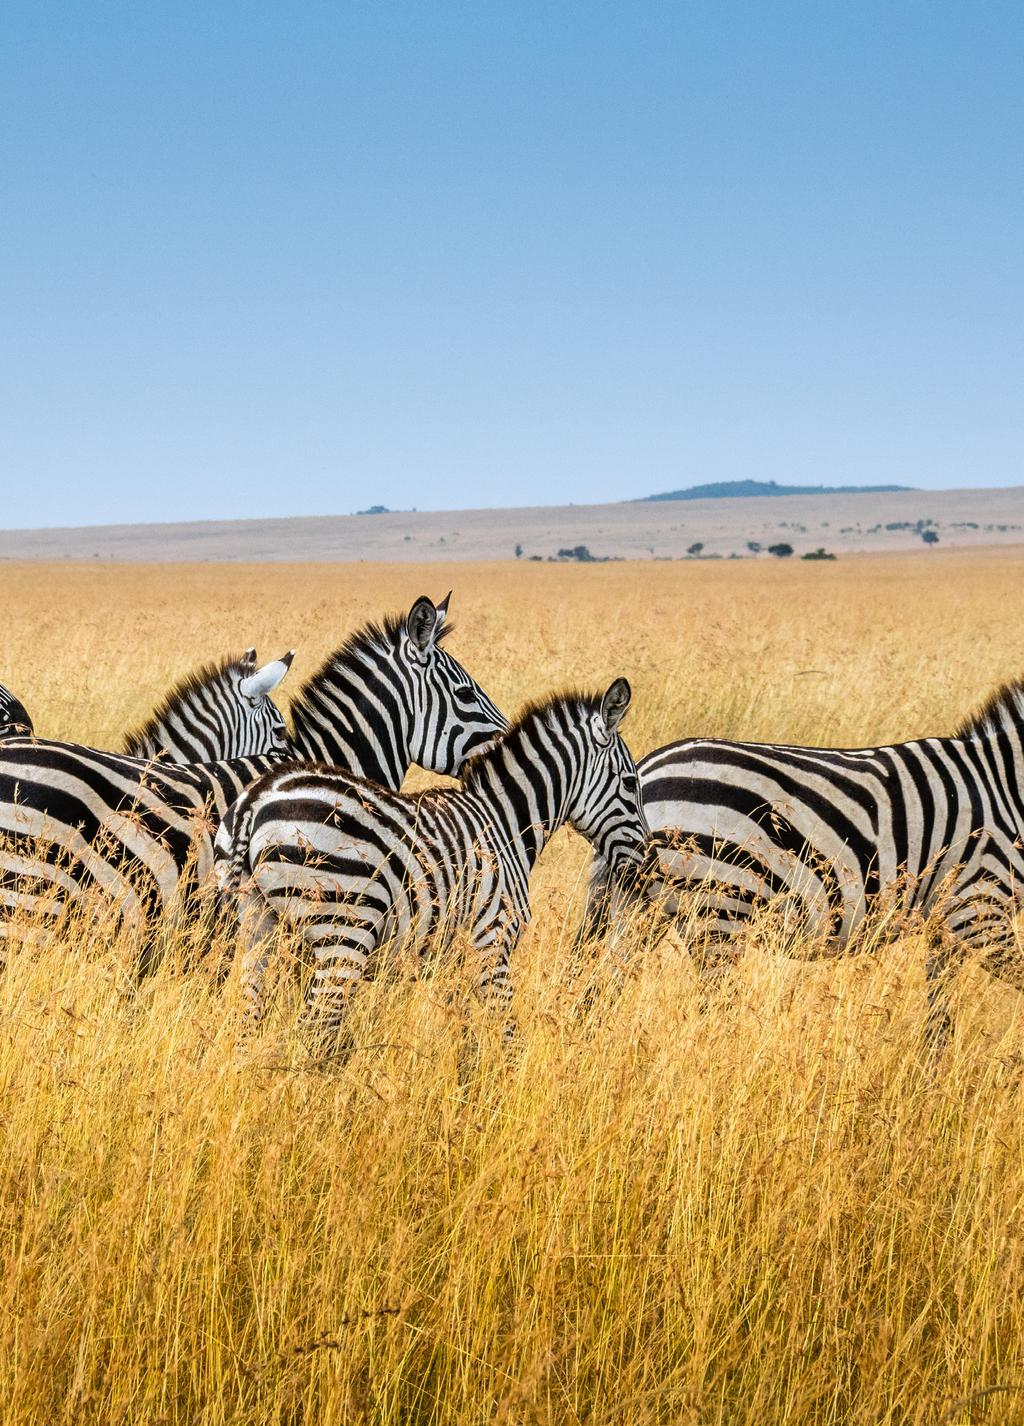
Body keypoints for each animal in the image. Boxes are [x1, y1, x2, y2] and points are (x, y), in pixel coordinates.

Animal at [215, 673, 650, 1043]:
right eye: (631, 782)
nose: (646, 863)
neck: (505, 821)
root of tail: (257, 800)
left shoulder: (456, 959)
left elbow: (467, 1037)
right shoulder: (492, 942)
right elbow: (506, 1034)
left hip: (257, 925)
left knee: (248, 1022)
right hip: (343, 932)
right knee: (314, 1029)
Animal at [590, 673, 1024, 1043]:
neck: (1005, 788)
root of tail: (645, 770)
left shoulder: (946, 925)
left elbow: (939, 1019)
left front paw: (929, 1081)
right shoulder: (979, 910)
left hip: (639, 907)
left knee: (601, 988)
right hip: (719, 910)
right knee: (713, 1013)